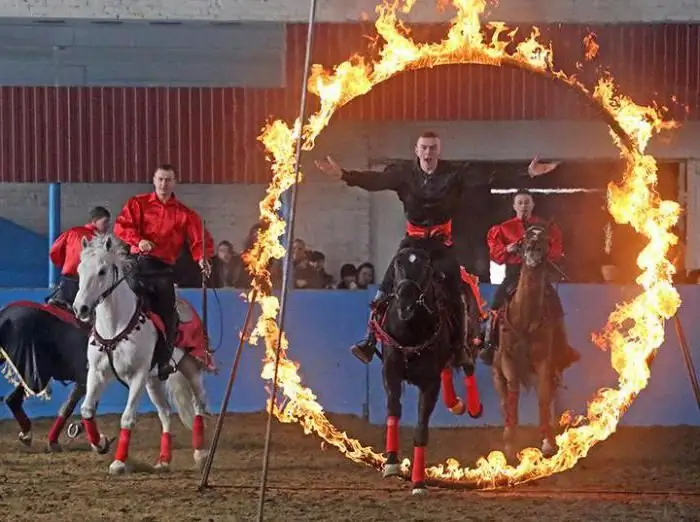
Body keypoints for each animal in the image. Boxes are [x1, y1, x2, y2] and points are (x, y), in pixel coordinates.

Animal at [75, 234, 211, 474]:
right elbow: (87, 409)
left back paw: (200, 454)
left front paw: (119, 462)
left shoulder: (137, 375)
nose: (80, 308)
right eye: (79, 270)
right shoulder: (97, 373)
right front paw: (100, 443)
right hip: (153, 381)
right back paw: (164, 459)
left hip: (190, 367)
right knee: (165, 413)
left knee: (199, 405)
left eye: (102, 271)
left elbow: (127, 418)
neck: (115, 327)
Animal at [370, 238, 478, 494]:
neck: (410, 331)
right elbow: (393, 410)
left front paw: (418, 481)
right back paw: (455, 403)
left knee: (467, 366)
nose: (406, 304)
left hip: (467, 343)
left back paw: (471, 406)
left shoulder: (430, 383)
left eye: (426, 268)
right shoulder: (390, 372)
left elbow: (421, 428)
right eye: (397, 264)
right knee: (448, 371)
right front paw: (391, 464)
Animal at [492, 221, 564, 458]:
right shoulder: (508, 359)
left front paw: (547, 441)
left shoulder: (544, 360)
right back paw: (507, 430)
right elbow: (513, 391)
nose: (534, 249)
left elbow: (543, 395)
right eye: (524, 239)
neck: (524, 317)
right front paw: (510, 440)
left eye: (547, 239)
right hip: (496, 372)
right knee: (504, 399)